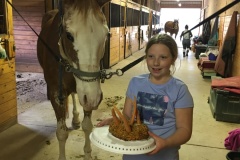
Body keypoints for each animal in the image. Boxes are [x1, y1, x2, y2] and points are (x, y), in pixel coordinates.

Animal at [36, 0, 110, 159]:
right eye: (69, 35)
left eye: (107, 34)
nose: (94, 98)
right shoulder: (56, 93)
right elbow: (62, 133)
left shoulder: (87, 94)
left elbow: (87, 126)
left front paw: (88, 154)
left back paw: (75, 119)